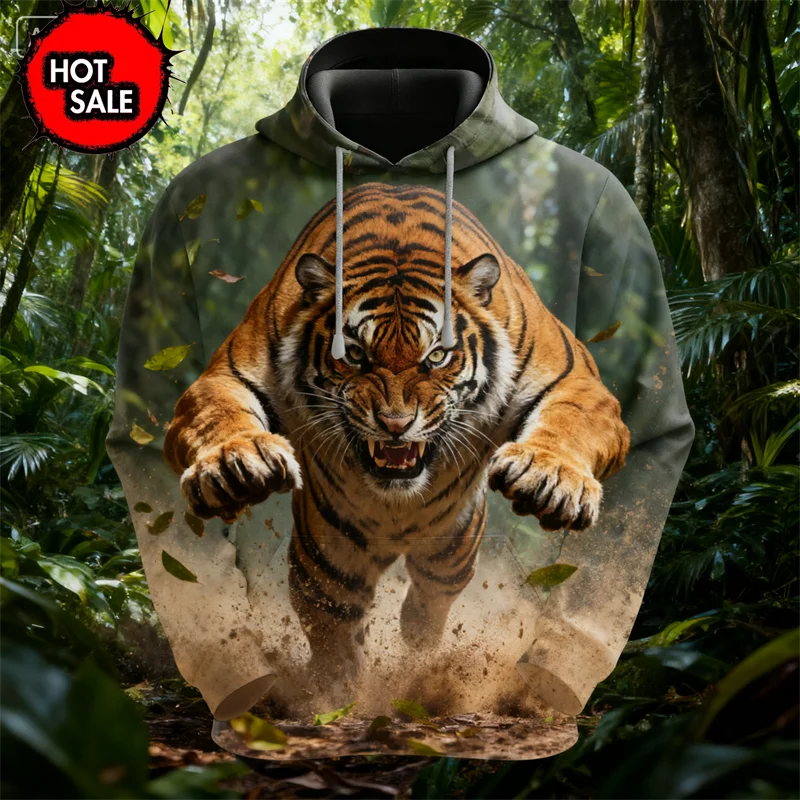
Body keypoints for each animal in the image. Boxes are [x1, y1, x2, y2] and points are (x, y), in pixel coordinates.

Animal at [163, 182, 630, 680]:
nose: (395, 423)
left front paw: (549, 479)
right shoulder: (227, 374)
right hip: (327, 553)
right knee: (337, 622)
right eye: (353, 355)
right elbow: (216, 411)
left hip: (452, 546)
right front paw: (234, 466)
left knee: (429, 600)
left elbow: (571, 417)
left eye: (438, 356)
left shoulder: (574, 377)